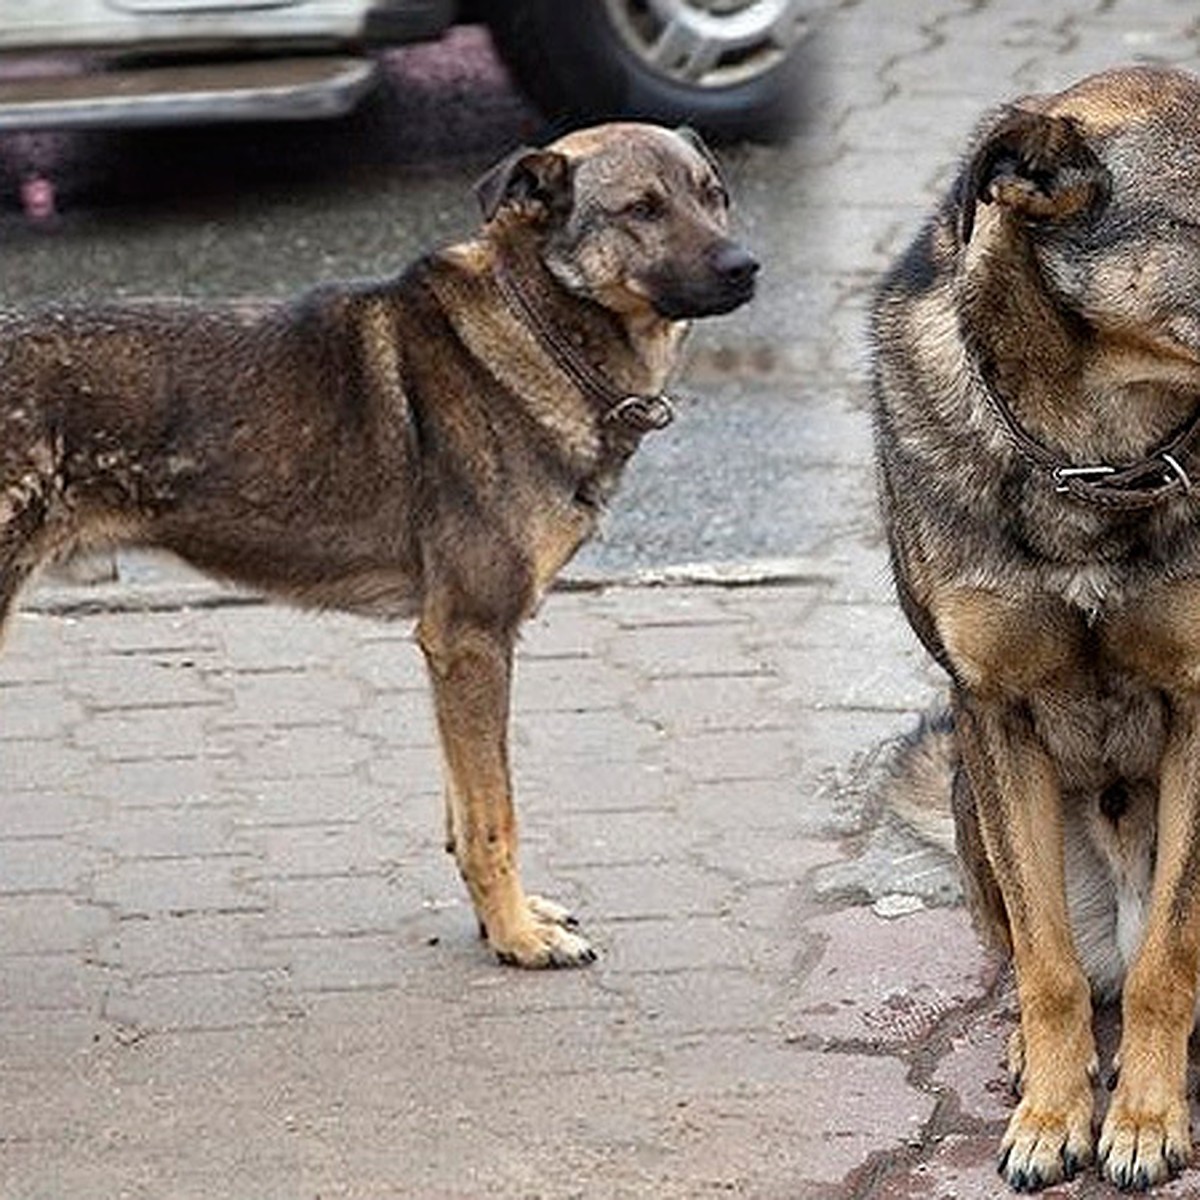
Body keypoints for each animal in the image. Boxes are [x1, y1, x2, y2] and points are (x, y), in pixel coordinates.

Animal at [0, 126, 758, 974]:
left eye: (712, 195)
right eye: (641, 209)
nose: (746, 267)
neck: (536, 326)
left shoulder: (450, 654)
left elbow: (464, 813)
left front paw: (502, 921)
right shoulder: (471, 640)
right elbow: (494, 819)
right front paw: (518, 938)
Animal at [873, 70, 1200, 1195]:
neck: (1095, 455)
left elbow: (1167, 965)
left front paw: (1144, 1118)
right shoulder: (996, 713)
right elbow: (1051, 965)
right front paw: (1054, 1115)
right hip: (975, 796)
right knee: (1028, 951)